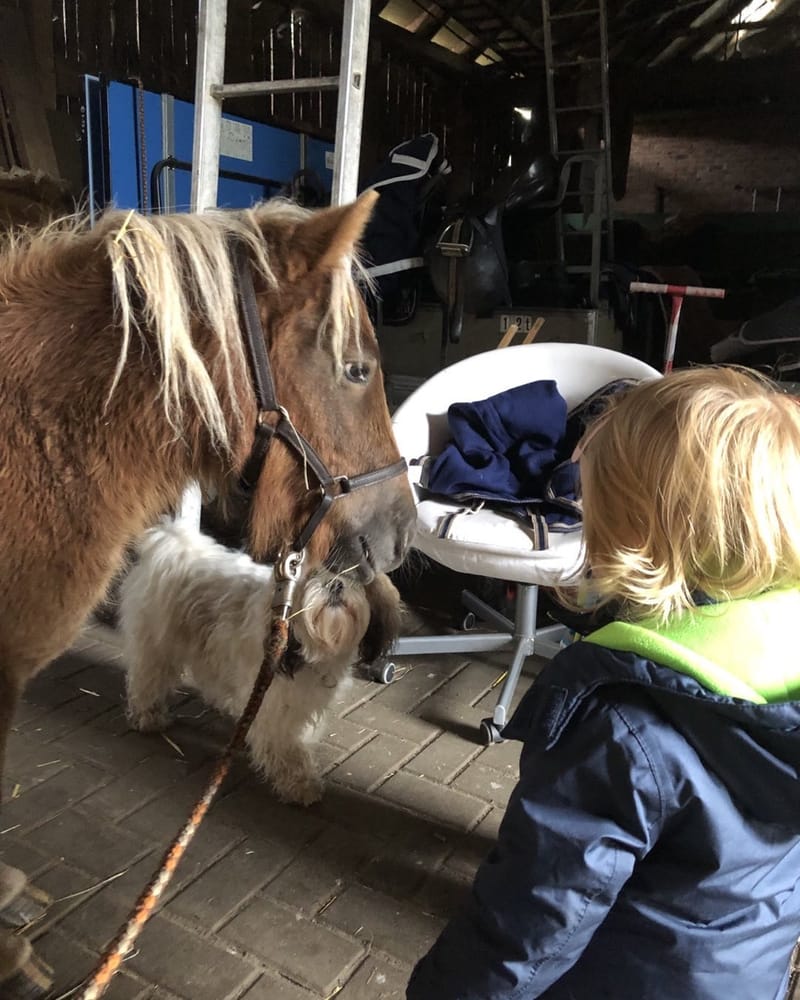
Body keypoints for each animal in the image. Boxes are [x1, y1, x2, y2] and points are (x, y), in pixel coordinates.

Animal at [119, 524, 404, 804]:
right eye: (312, 574)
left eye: (354, 576)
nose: (335, 583)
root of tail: (177, 546)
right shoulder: (275, 703)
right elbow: (284, 745)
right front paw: (300, 784)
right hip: (157, 644)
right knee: (147, 679)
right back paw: (149, 717)